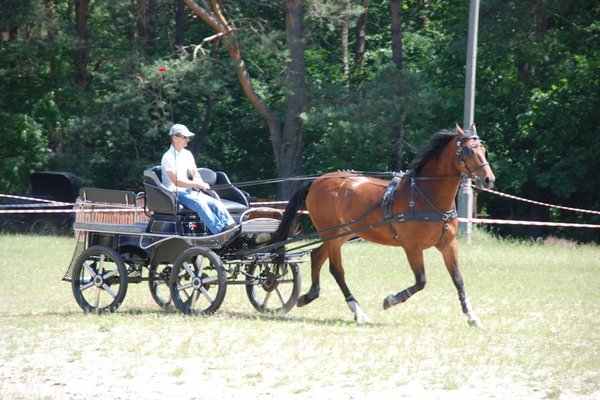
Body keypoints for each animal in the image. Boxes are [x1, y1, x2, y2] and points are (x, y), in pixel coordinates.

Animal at [274, 124, 496, 324]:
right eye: (468, 151)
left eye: (484, 151)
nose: (488, 179)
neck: (424, 195)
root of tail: (318, 181)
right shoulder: (411, 246)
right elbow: (421, 281)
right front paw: (390, 300)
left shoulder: (448, 244)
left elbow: (458, 279)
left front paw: (472, 316)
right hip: (332, 233)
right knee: (337, 270)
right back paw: (358, 312)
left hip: (341, 233)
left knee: (317, 255)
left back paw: (309, 295)